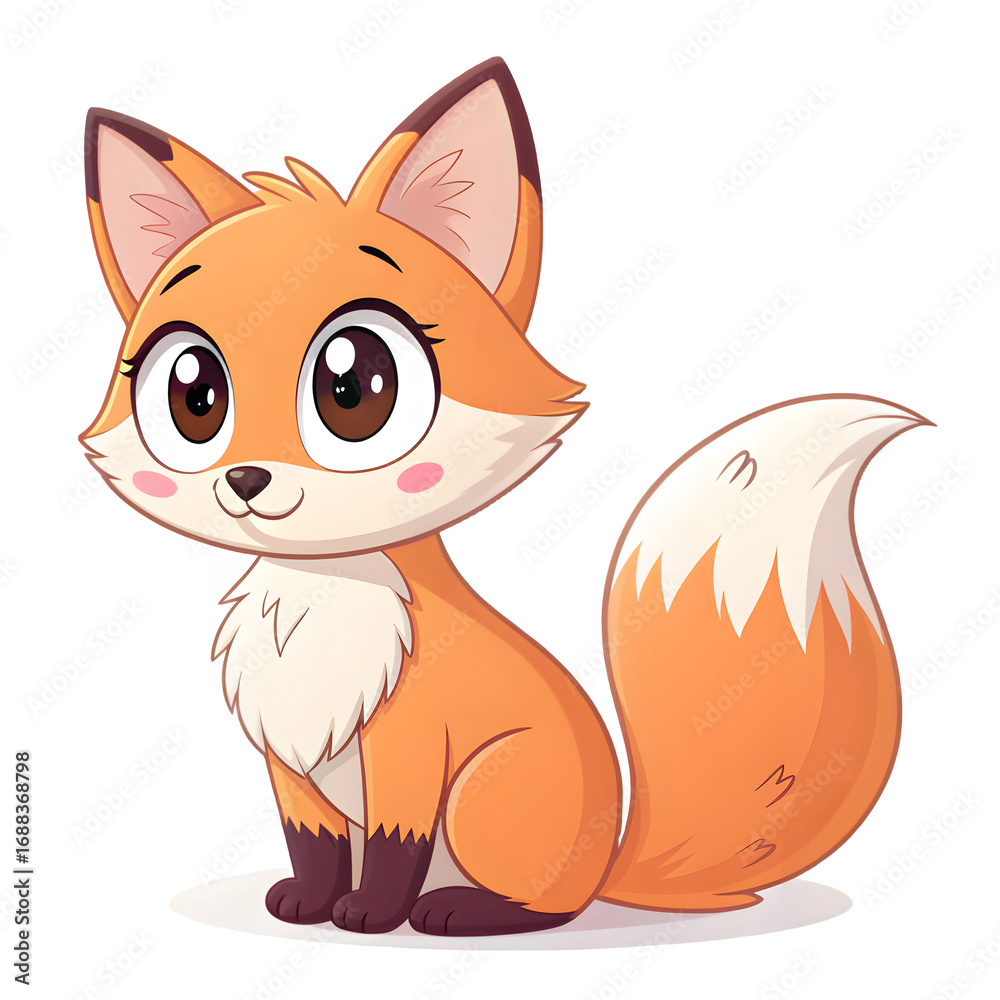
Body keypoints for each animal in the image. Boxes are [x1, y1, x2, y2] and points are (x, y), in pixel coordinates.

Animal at [80, 57, 928, 936]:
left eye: (355, 388)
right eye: (194, 395)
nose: (245, 480)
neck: (322, 595)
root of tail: (607, 864)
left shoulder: (413, 747)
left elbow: (393, 845)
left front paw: (370, 913)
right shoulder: (288, 758)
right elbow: (311, 842)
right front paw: (309, 903)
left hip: (487, 795)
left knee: (539, 904)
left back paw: (461, 910)